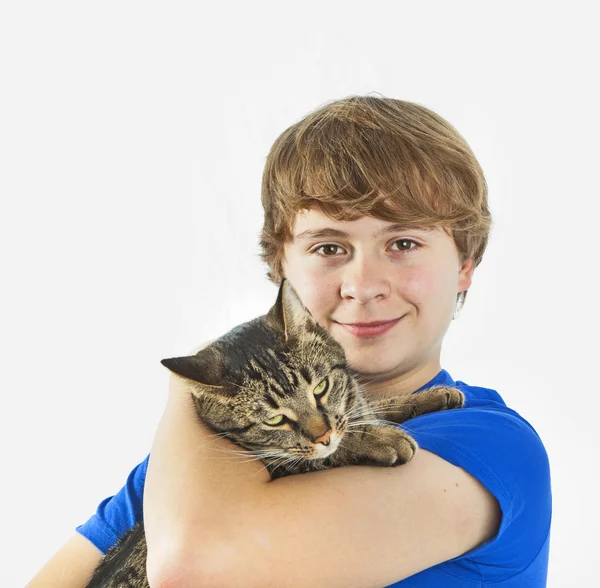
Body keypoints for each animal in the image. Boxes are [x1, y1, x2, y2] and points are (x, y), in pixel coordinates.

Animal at [85, 278, 464, 584]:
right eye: (274, 420)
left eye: (321, 388)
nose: (323, 436)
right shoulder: (286, 464)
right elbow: (324, 452)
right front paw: (380, 438)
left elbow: (372, 406)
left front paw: (432, 396)